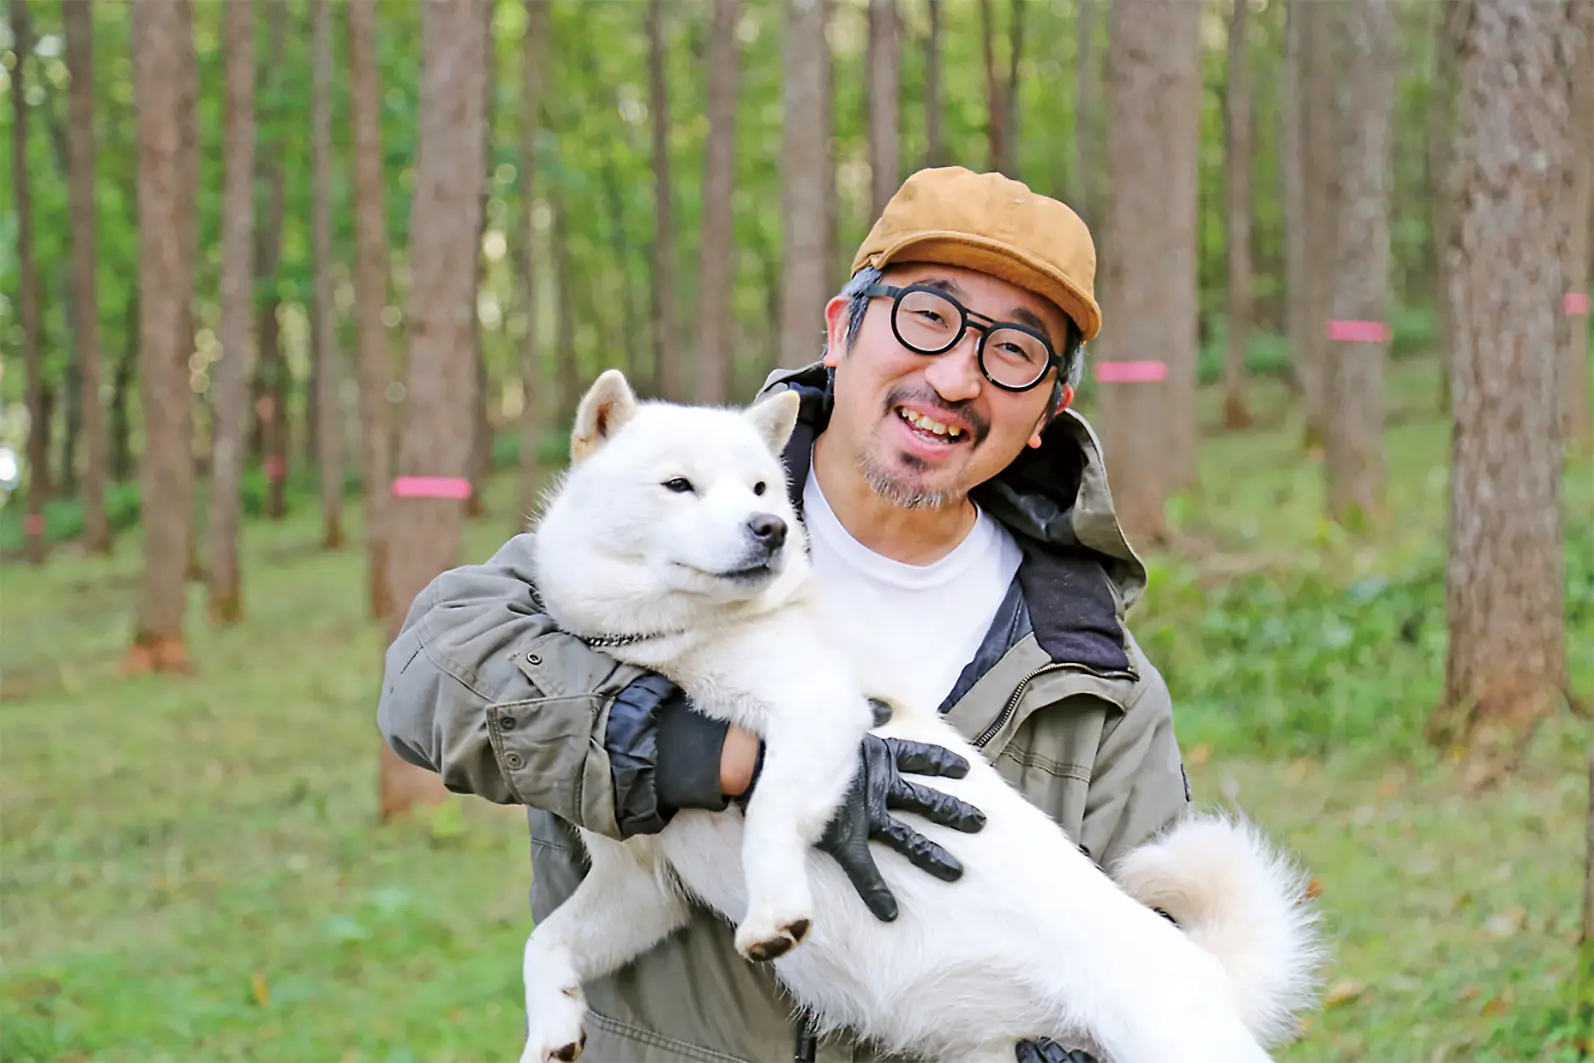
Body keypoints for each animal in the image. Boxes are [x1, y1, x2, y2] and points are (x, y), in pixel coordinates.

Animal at [519, 372, 1319, 1063]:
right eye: (678, 485)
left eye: (760, 487)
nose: (770, 527)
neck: (678, 646)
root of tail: (1207, 971)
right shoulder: (643, 885)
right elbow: (543, 945)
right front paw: (551, 1030)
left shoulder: (819, 712)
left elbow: (771, 812)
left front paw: (776, 911)